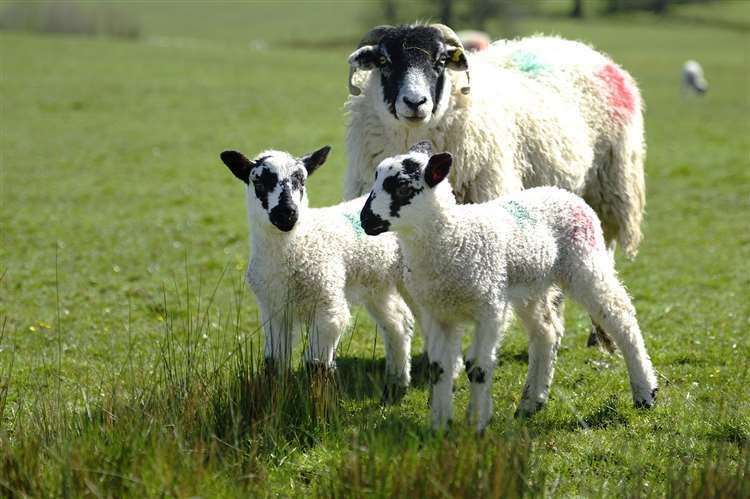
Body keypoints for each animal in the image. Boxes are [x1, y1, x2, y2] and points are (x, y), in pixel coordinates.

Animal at [217, 146, 418, 400]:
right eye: (258, 181)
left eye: (301, 180)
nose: (286, 213)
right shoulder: (274, 310)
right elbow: (274, 363)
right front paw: (275, 400)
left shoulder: (328, 306)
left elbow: (316, 366)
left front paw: (319, 402)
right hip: (376, 282)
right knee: (398, 323)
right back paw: (397, 383)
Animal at [346, 23, 648, 350]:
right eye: (384, 61)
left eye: (440, 61)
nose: (415, 103)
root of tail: (578, 46)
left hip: (608, 189)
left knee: (604, 257)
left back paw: (600, 334)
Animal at [358, 143, 656, 432]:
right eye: (375, 180)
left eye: (403, 188)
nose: (365, 220)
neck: (453, 236)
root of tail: (564, 193)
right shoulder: (439, 313)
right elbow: (439, 368)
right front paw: (439, 426)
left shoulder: (489, 307)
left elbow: (478, 367)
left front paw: (476, 424)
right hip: (530, 286)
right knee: (546, 332)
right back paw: (531, 403)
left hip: (585, 265)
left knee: (621, 318)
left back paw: (645, 392)